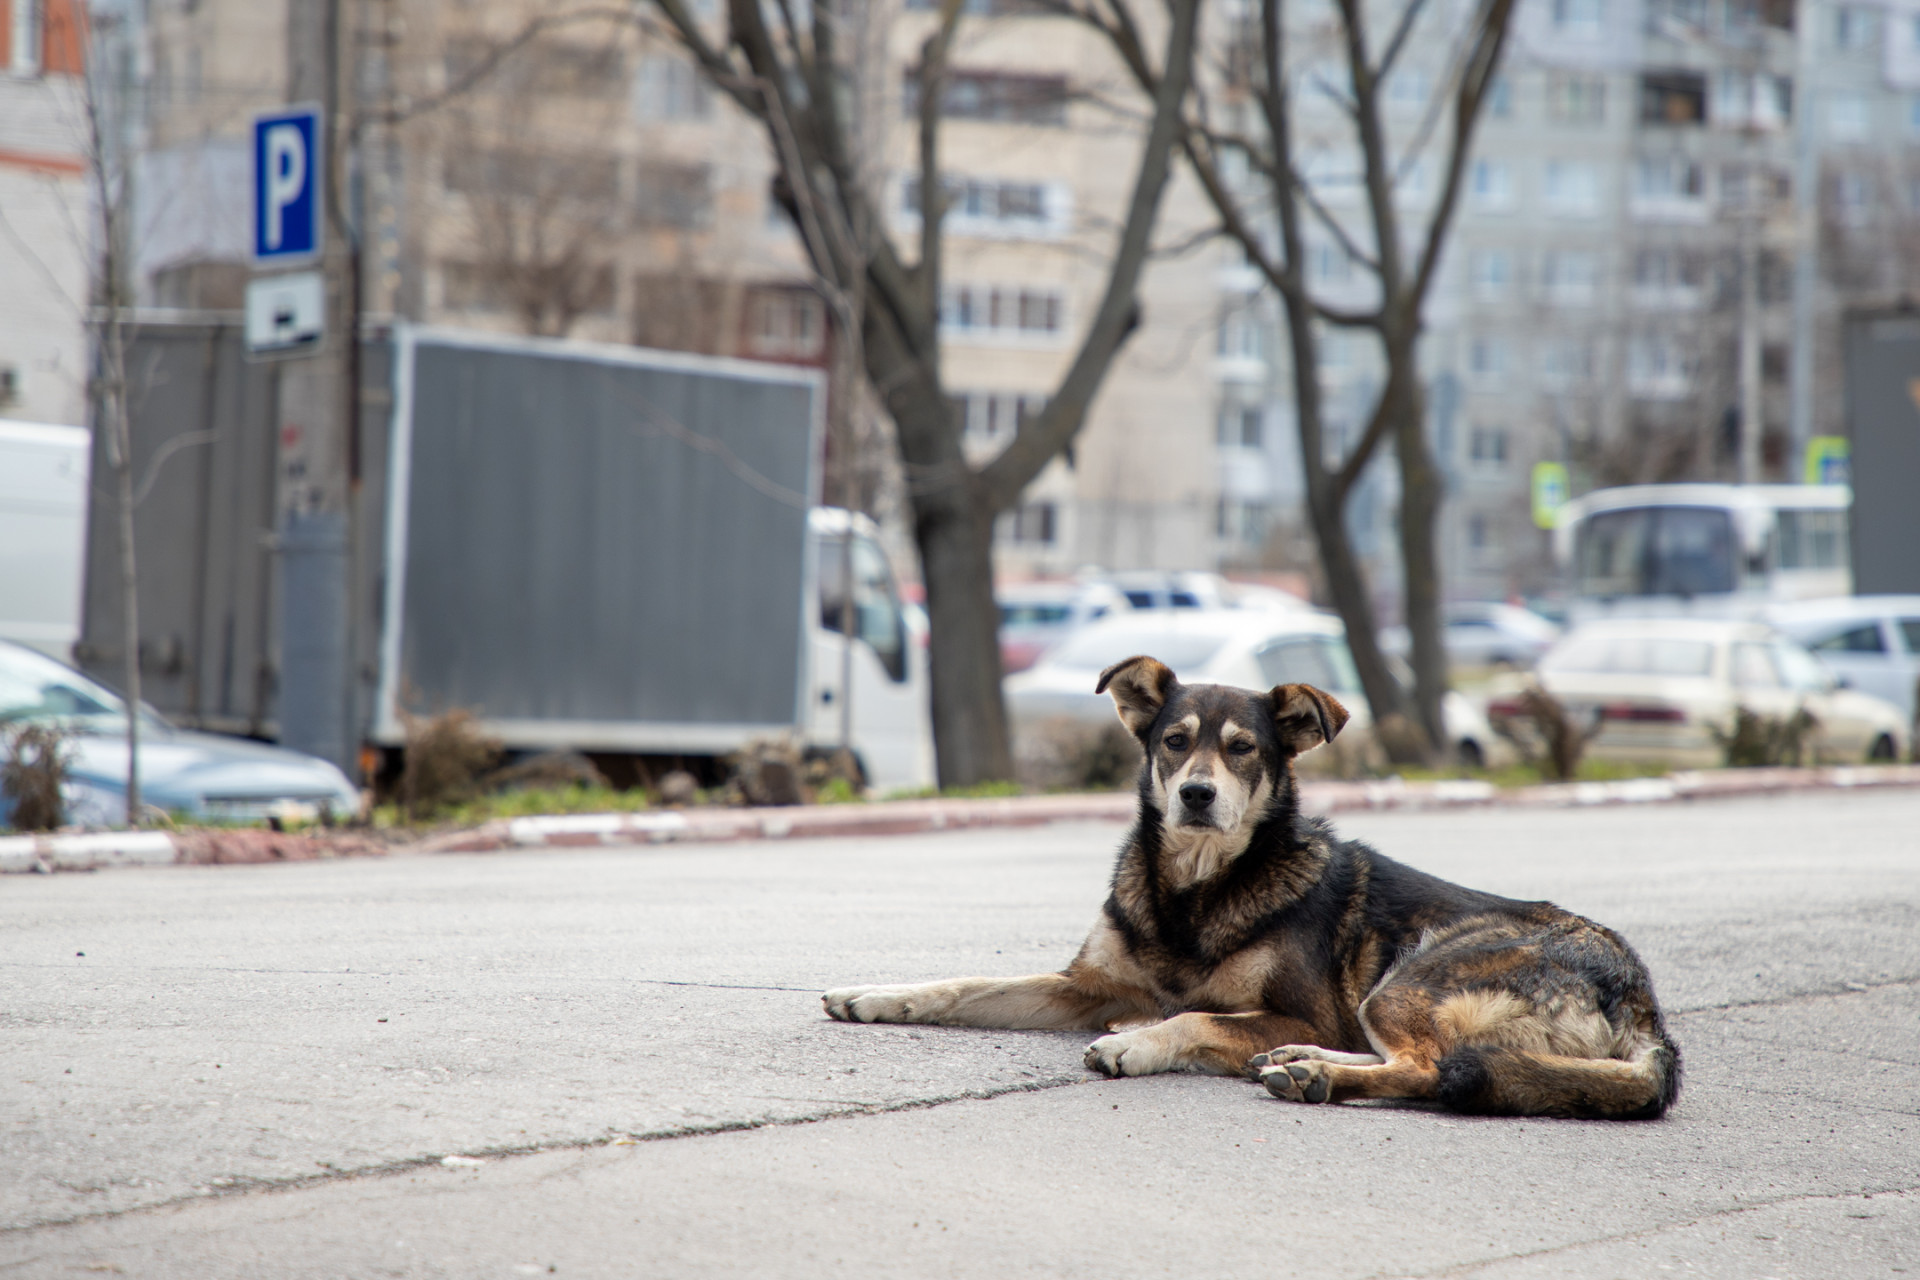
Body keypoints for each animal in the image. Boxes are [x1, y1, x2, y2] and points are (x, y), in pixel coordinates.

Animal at [825, 660, 1681, 1120]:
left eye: (1242, 750)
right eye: (1175, 742)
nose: (1197, 795)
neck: (1196, 889)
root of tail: (1644, 1002)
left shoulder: (1300, 1004)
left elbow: (1194, 1013)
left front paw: (1135, 1042)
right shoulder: (1086, 984)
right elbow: (965, 984)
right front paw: (878, 994)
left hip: (1411, 978)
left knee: (1429, 1069)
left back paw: (1314, 1075)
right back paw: (1300, 1062)